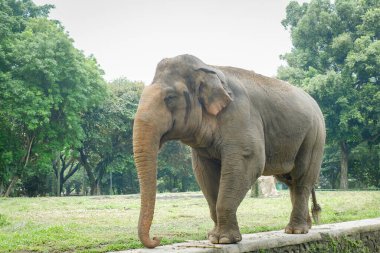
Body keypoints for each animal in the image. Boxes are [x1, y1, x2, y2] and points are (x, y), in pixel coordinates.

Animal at [132, 54, 326, 248]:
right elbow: (204, 173)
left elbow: (249, 161)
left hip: (314, 136)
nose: (156, 239)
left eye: (170, 97)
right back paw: (306, 227)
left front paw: (223, 240)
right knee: (290, 180)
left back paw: (296, 231)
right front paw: (213, 236)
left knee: (301, 178)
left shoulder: (241, 115)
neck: (208, 68)